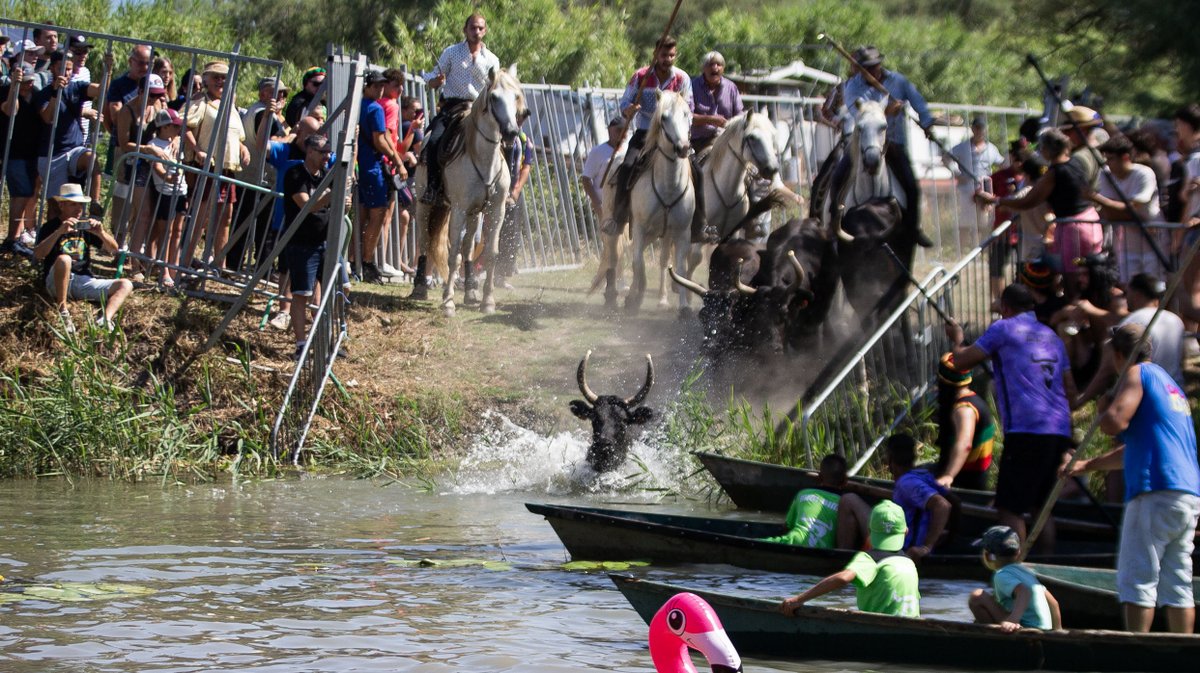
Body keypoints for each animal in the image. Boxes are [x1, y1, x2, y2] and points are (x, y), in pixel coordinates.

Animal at [412, 65, 525, 314]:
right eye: (494, 97)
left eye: (516, 96)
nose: (511, 131)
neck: (482, 159)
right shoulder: (459, 209)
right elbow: (452, 254)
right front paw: (448, 302)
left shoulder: (495, 210)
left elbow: (490, 253)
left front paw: (487, 301)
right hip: (424, 205)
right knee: (424, 242)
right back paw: (419, 287)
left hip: (474, 215)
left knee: (467, 246)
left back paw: (471, 291)